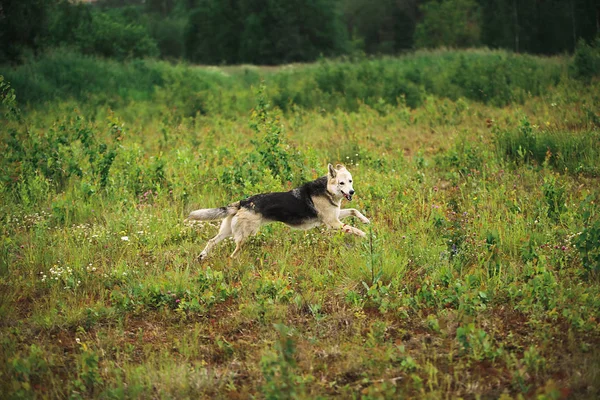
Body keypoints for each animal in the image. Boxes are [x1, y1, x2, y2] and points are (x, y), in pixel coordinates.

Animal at [189, 163, 370, 260]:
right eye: (341, 183)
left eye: (350, 181)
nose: (352, 192)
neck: (326, 190)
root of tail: (243, 202)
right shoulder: (333, 223)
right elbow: (353, 229)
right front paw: (366, 235)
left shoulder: (335, 217)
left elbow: (354, 210)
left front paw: (366, 220)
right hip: (244, 236)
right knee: (233, 254)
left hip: (227, 232)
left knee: (211, 241)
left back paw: (201, 257)